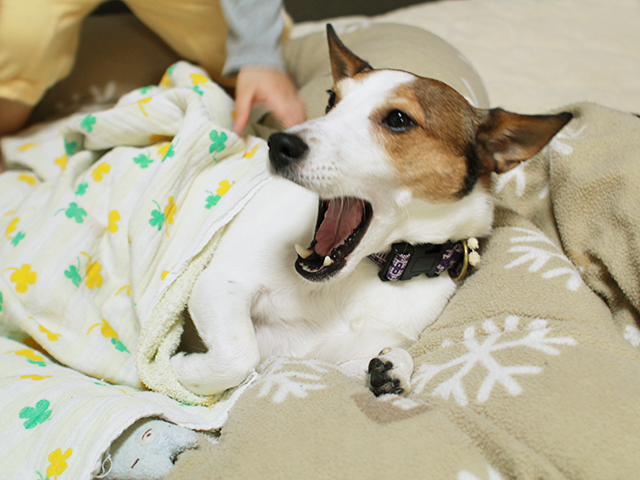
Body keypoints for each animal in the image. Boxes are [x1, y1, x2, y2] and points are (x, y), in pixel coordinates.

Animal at [170, 23, 568, 398]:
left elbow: (379, 360)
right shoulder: (219, 283)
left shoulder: (326, 355)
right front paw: (183, 368)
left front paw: (392, 369)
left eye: (398, 119)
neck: (369, 271)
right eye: (331, 99)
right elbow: (239, 358)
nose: (279, 143)